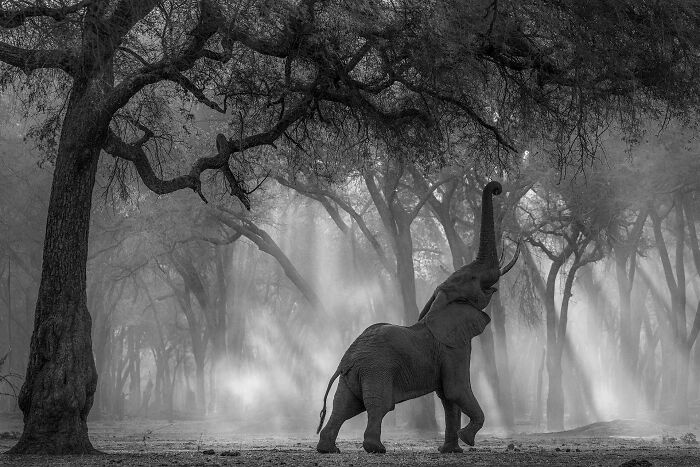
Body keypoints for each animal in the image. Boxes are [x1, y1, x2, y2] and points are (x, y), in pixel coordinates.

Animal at [316, 181, 519, 454]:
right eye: (473, 279)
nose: (497, 188)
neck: (439, 302)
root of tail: (346, 360)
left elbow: (448, 398)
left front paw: (451, 451)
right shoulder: (453, 348)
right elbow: (456, 390)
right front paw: (467, 439)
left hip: (352, 376)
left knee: (344, 406)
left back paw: (329, 449)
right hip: (377, 370)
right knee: (378, 406)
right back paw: (376, 448)